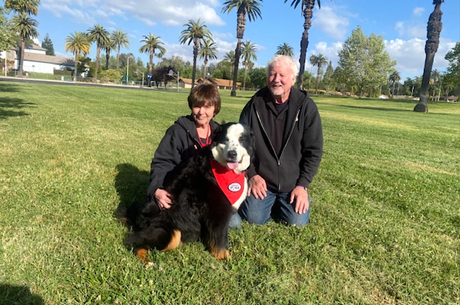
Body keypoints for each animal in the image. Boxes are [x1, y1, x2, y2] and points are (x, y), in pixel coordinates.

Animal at [124, 121, 253, 264]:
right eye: (226, 139)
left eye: (242, 139)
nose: (232, 154)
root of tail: (137, 220)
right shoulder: (219, 211)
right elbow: (221, 240)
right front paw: (225, 258)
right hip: (171, 231)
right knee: (135, 243)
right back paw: (148, 262)